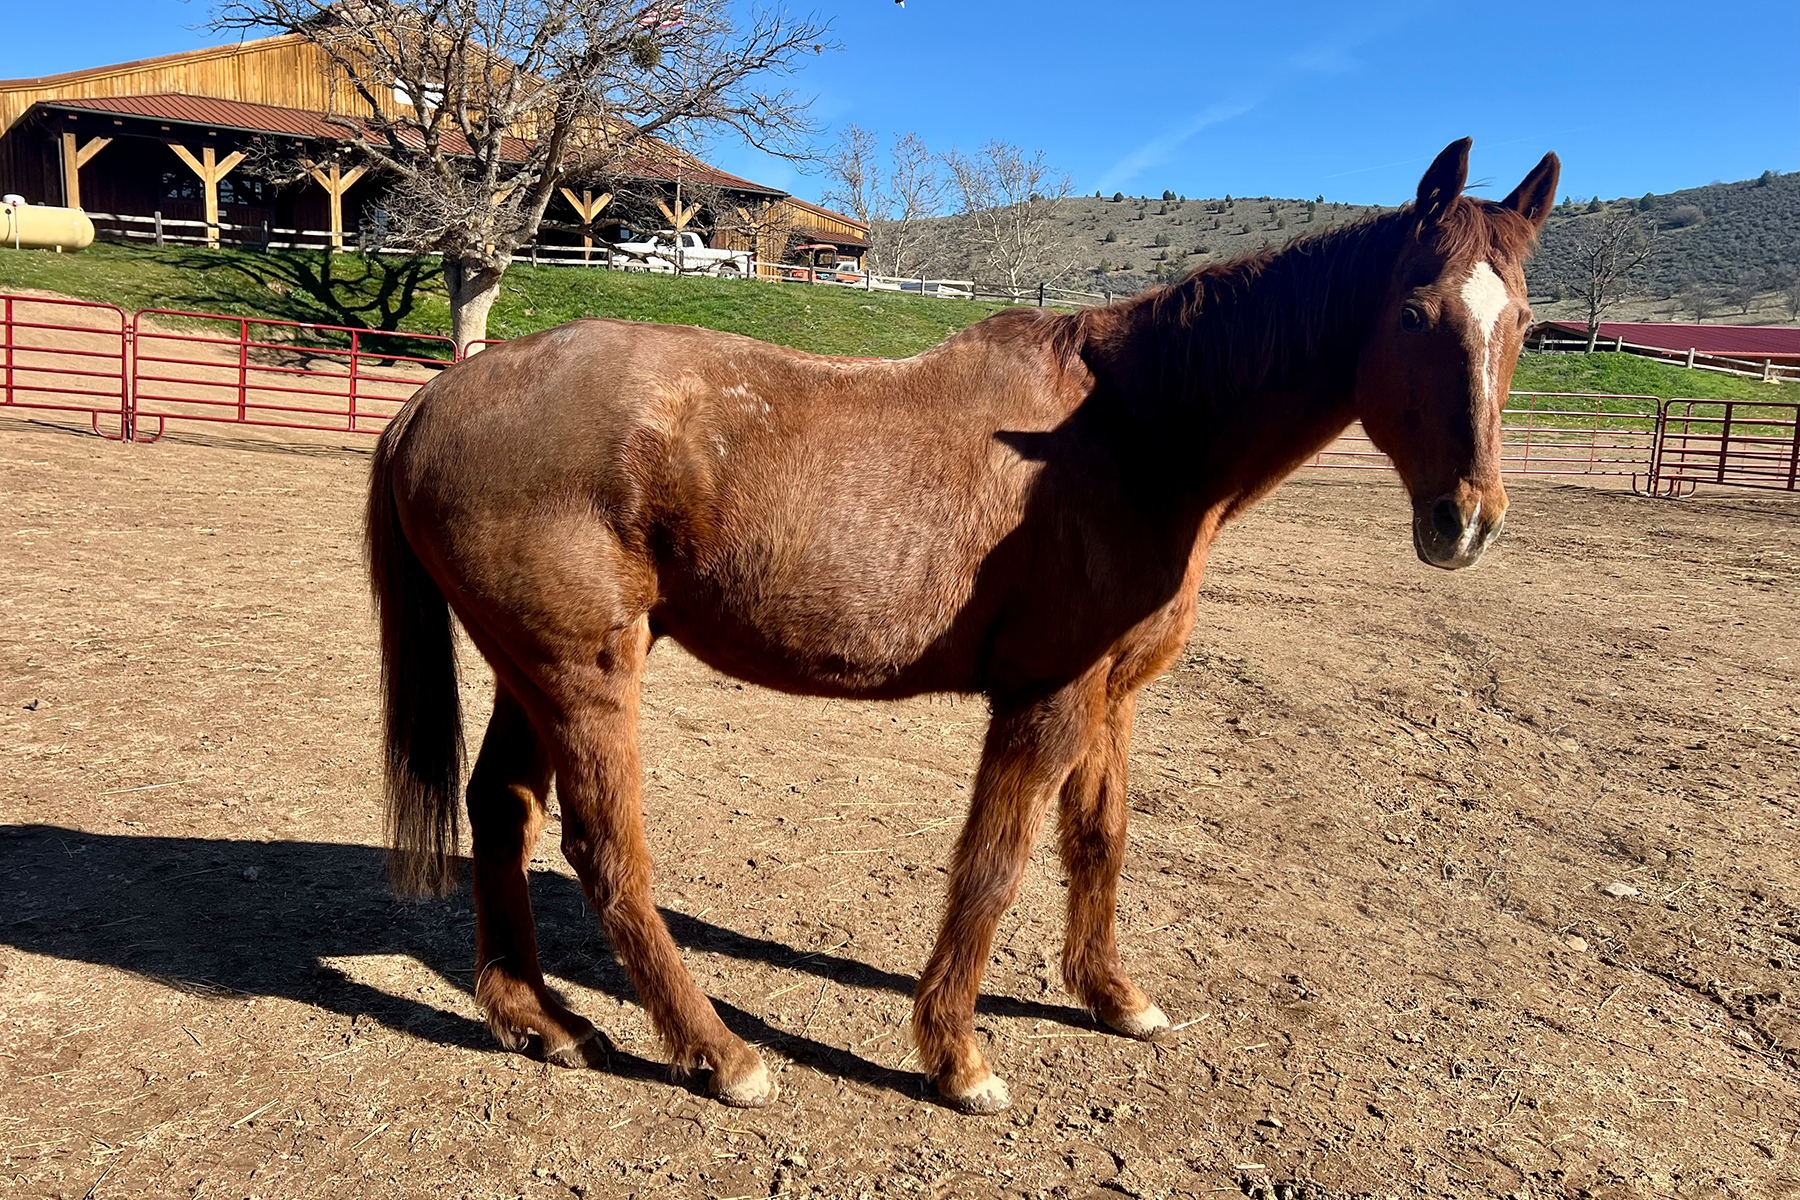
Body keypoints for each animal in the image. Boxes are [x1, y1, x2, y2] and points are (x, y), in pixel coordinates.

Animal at [366, 138, 1558, 1114]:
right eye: (1412, 313)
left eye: (1525, 327)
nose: (1466, 522)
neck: (1131, 431)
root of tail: (439, 400)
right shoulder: (1045, 697)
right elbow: (995, 862)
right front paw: (956, 1057)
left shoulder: (1110, 695)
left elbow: (1099, 839)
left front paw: (1113, 998)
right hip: (584, 673)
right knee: (604, 850)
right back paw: (720, 1053)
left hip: (535, 671)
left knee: (503, 810)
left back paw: (538, 1021)